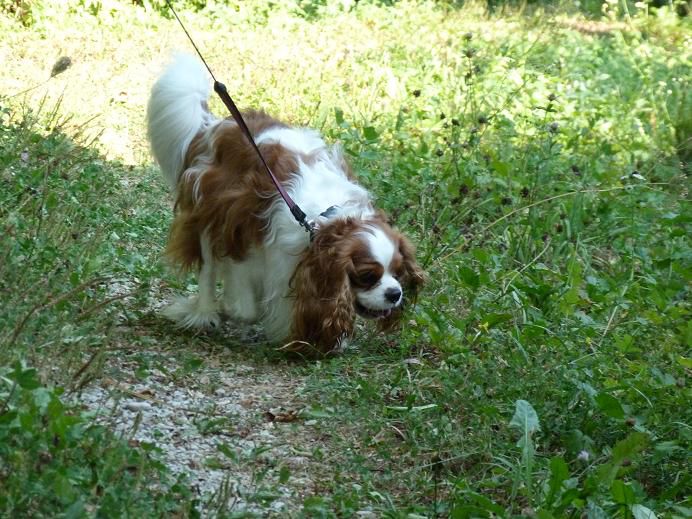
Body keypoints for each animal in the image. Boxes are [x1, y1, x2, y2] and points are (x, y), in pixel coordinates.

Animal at [147, 54, 422, 356]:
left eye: (397, 272)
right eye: (367, 276)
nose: (395, 293)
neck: (319, 222)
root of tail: (216, 125)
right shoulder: (239, 236)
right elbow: (245, 303)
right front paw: (235, 309)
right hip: (208, 210)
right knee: (208, 268)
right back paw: (205, 313)